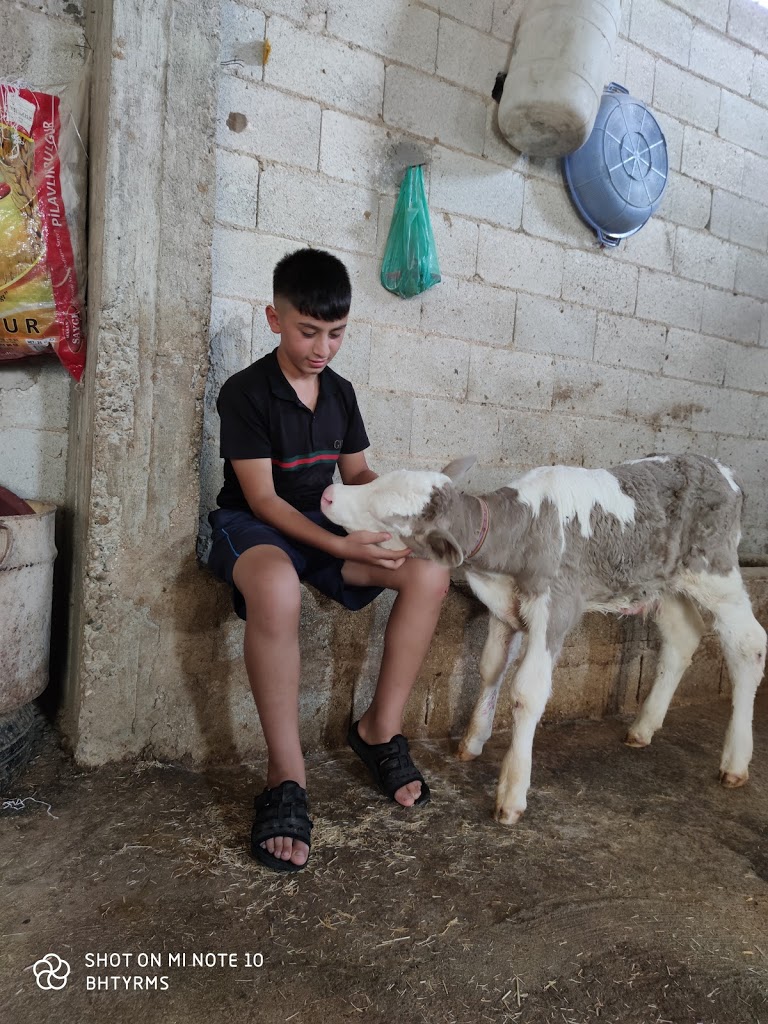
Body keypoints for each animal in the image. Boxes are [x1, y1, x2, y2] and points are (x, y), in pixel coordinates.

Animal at [321, 456, 765, 823]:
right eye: (379, 479)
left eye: (388, 516)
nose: (329, 494)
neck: (521, 530)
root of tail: (723, 470)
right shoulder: (505, 610)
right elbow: (490, 668)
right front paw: (472, 741)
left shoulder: (555, 606)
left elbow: (527, 692)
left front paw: (512, 792)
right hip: (663, 581)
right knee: (683, 635)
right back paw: (643, 727)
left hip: (716, 571)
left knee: (750, 643)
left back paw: (735, 761)